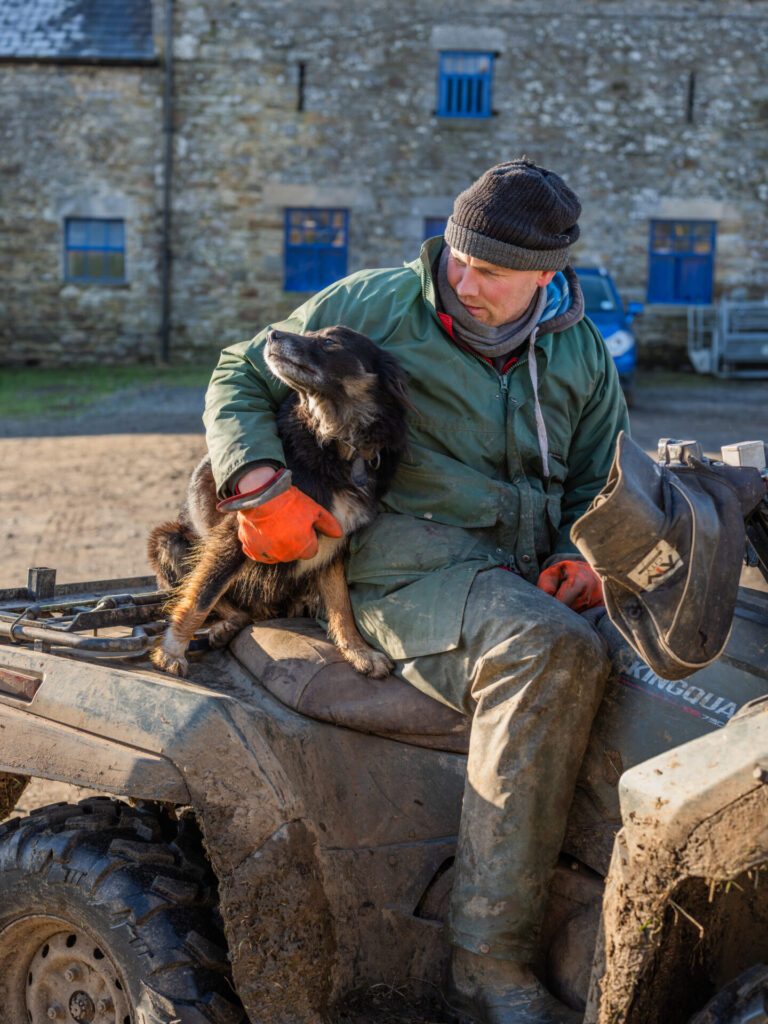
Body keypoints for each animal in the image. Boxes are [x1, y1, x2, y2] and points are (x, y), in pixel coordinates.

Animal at [151, 325, 415, 679]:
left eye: (329, 341)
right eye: (310, 331)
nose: (272, 334)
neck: (336, 441)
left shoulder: (334, 541)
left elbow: (342, 603)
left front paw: (359, 651)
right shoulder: (237, 534)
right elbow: (202, 595)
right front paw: (172, 651)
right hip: (168, 540)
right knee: (218, 599)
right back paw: (223, 626)